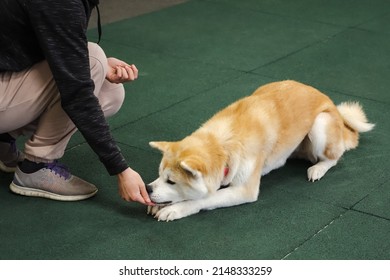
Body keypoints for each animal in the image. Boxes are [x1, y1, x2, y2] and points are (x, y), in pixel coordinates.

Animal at [147, 80, 374, 221]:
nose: (147, 189)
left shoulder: (244, 190)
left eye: (171, 181)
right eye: (159, 175)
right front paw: (159, 204)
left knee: (334, 157)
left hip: (320, 125)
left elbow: (204, 199)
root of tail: (337, 111)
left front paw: (175, 209)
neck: (223, 143)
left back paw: (318, 169)